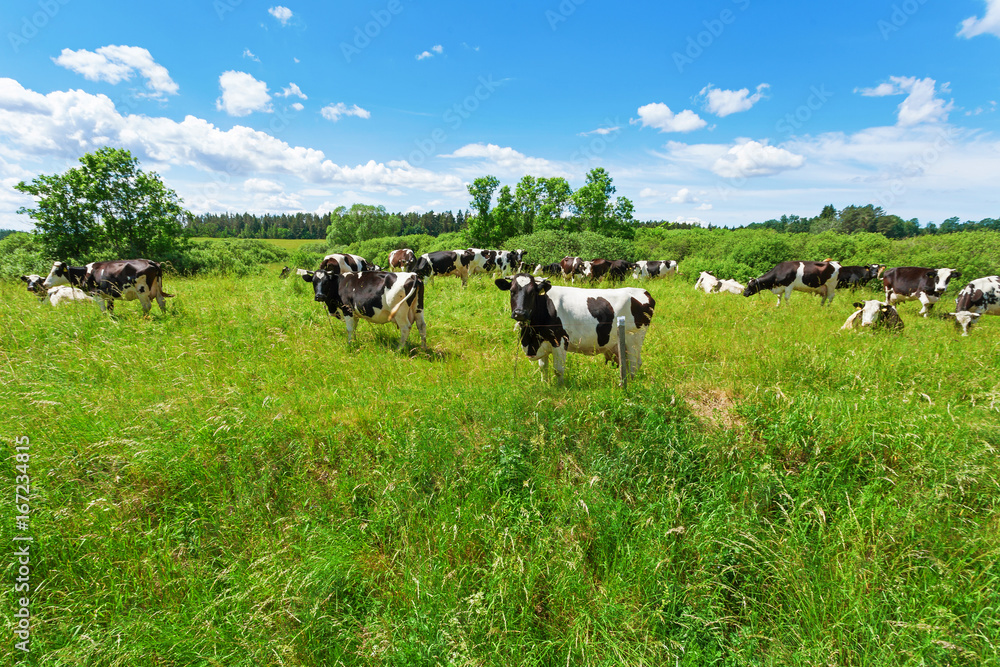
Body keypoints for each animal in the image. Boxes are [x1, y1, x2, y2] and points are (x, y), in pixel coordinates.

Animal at [44, 259, 172, 314]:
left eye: (56, 272)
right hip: (157, 289)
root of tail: (150, 261)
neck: (85, 273)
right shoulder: (109, 295)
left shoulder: (96, 294)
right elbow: (110, 309)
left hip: (142, 291)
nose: (45, 284)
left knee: (147, 306)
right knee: (161, 302)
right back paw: (164, 315)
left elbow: (103, 310)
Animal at [494, 274, 655, 385]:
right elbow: (543, 367)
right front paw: (545, 386)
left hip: (634, 338)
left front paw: (559, 389)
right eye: (512, 291)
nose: (520, 313)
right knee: (627, 363)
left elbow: (558, 370)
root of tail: (643, 291)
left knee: (634, 363)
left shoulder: (559, 341)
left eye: (532, 292)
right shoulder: (542, 342)